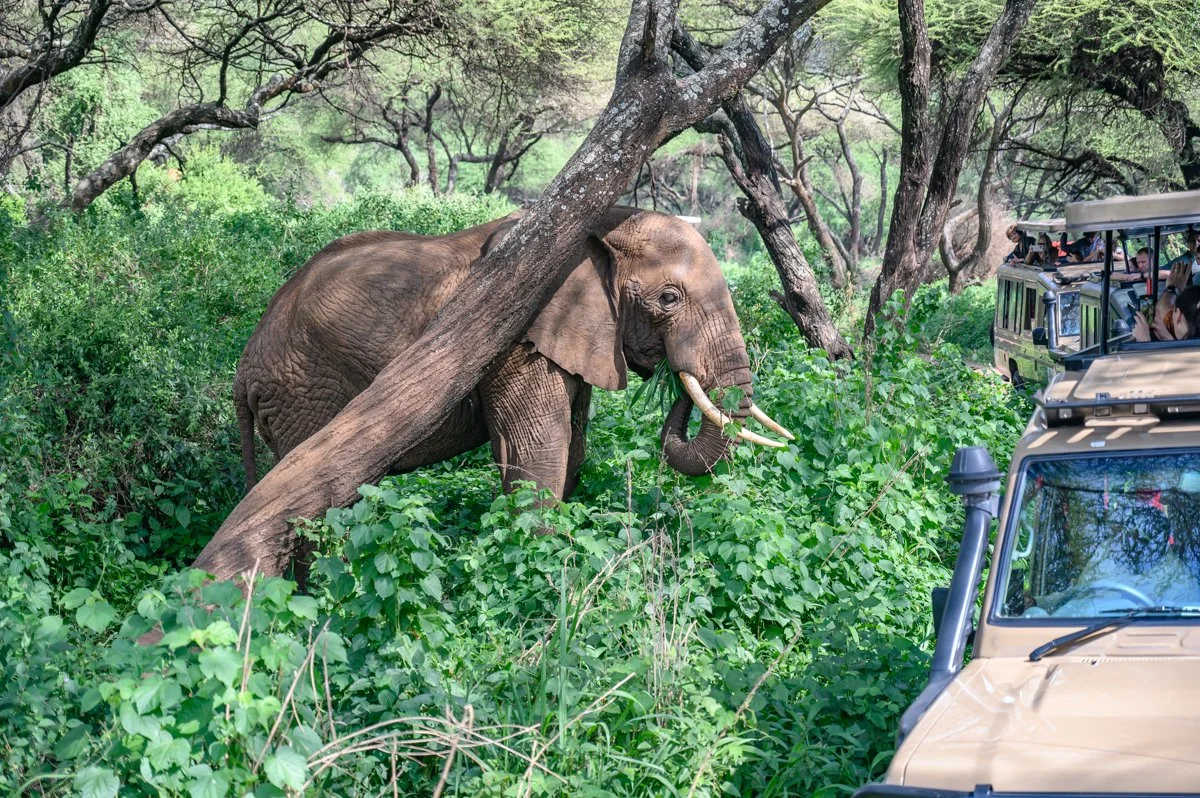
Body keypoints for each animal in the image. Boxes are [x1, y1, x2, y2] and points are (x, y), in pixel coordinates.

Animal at [233, 206, 792, 501]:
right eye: (669, 299)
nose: (677, 383)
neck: (604, 223)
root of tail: (244, 368)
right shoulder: (516, 339)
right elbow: (540, 449)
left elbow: (573, 446)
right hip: (303, 389)